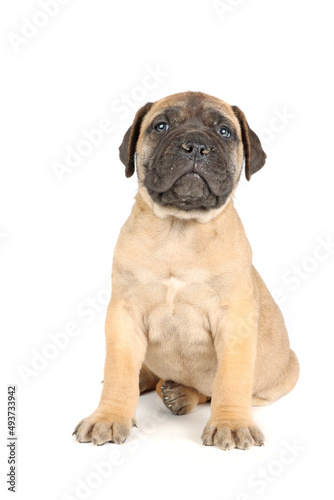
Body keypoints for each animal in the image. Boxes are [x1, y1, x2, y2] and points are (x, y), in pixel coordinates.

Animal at [73, 92, 300, 452]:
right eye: (161, 126)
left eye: (224, 132)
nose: (195, 146)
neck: (179, 231)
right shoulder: (124, 314)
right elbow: (120, 368)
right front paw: (108, 416)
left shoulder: (234, 319)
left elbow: (230, 379)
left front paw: (231, 424)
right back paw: (148, 380)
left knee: (209, 391)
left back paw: (181, 395)